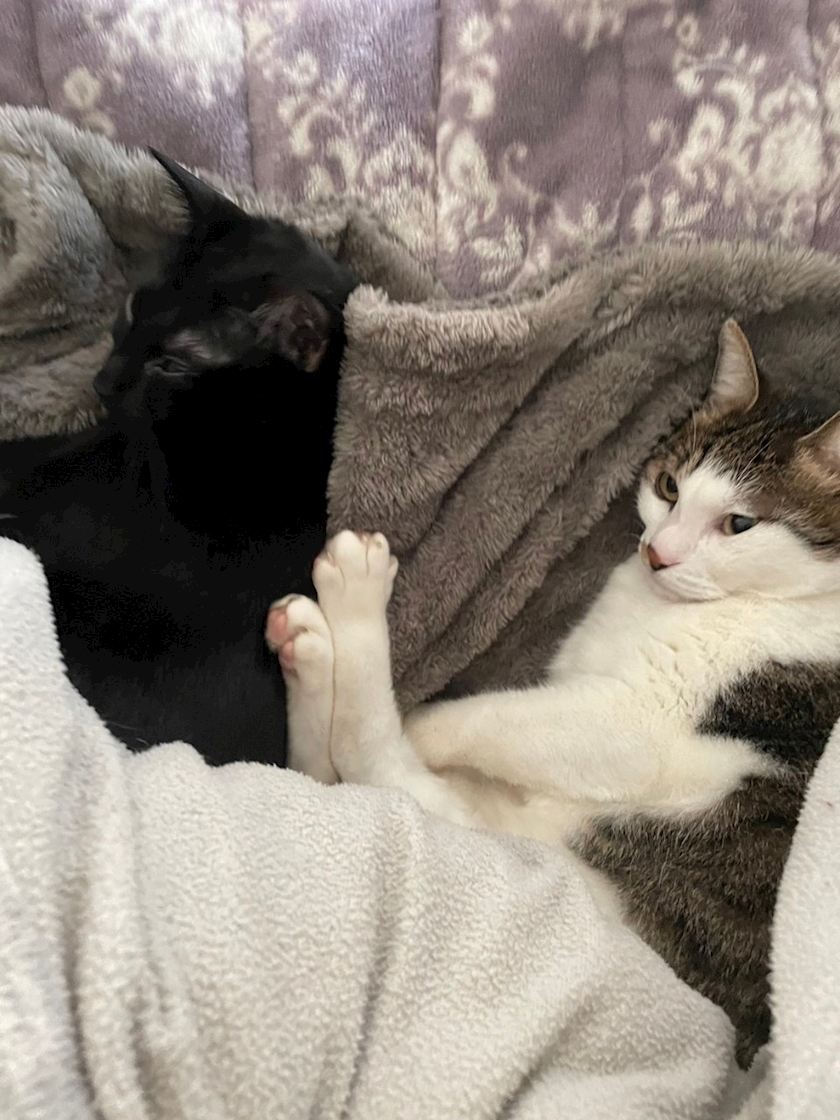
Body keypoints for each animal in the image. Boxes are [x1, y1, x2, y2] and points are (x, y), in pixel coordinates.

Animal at [266, 319, 840, 1067]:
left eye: (740, 525)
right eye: (669, 487)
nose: (657, 554)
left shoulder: (631, 723)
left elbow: (480, 721)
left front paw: (425, 721)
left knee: (382, 773)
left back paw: (353, 606)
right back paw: (306, 646)